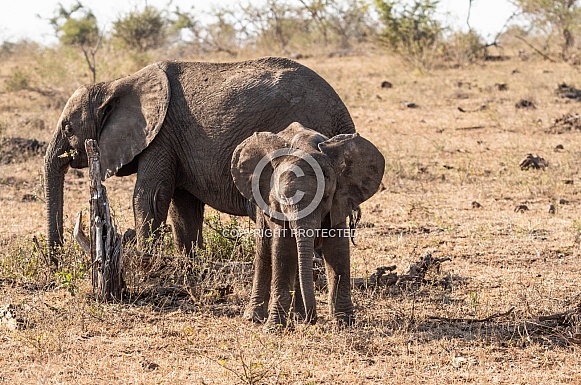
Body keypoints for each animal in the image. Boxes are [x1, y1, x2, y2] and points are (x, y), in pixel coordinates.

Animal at [44, 56, 354, 260]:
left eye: (68, 128)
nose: (55, 260)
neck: (117, 83)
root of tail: (343, 114)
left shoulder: (161, 135)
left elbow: (149, 196)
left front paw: (146, 262)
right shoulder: (175, 141)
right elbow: (182, 207)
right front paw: (188, 264)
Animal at [231, 122, 386, 328]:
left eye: (325, 197)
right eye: (283, 199)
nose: (312, 320)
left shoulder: (339, 201)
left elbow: (337, 251)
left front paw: (344, 323)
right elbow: (283, 251)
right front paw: (274, 327)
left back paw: (298, 315)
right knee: (265, 250)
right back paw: (256, 317)